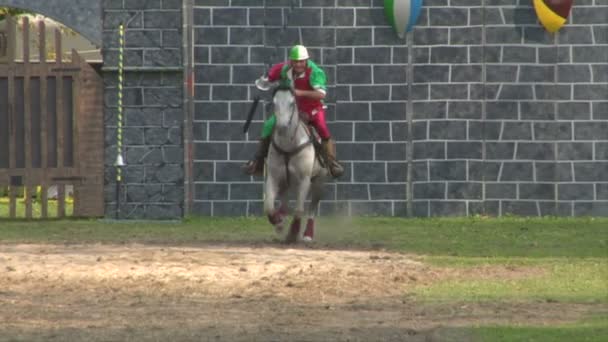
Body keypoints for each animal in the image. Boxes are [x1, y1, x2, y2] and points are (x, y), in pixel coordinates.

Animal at [264, 86, 328, 243]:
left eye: (292, 103)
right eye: (274, 103)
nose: (282, 127)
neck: (289, 146)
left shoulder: (304, 179)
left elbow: (299, 209)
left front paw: (293, 233)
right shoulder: (273, 177)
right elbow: (268, 205)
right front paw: (278, 223)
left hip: (319, 181)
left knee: (312, 207)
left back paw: (307, 234)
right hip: (285, 182)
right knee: (284, 202)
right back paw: (281, 219)